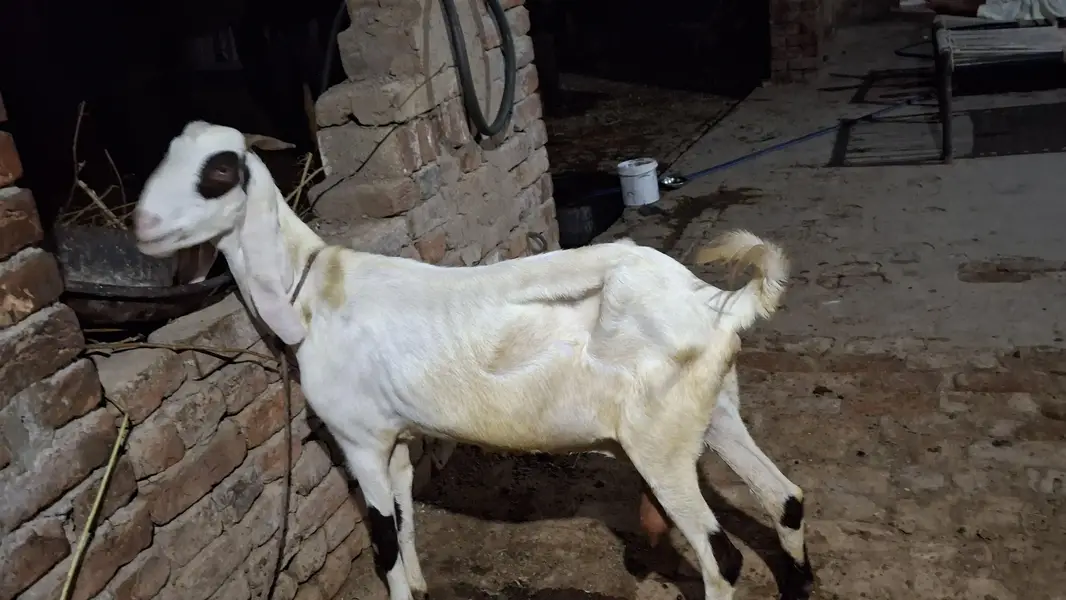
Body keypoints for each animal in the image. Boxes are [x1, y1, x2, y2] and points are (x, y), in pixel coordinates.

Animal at [132, 121, 814, 600]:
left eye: (220, 171)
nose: (142, 225)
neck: (311, 292)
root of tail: (716, 302)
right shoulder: (395, 439)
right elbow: (405, 519)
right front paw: (419, 588)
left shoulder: (358, 438)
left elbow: (383, 540)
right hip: (714, 410)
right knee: (786, 498)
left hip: (660, 442)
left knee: (722, 558)